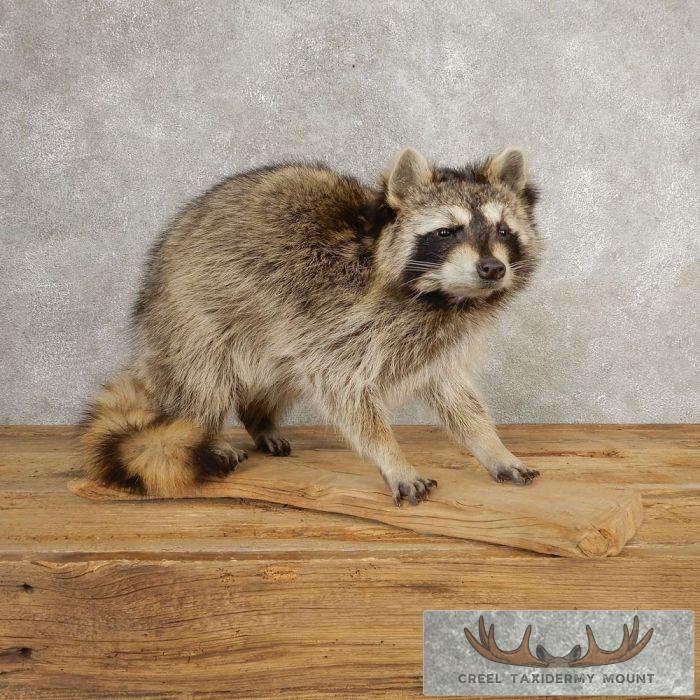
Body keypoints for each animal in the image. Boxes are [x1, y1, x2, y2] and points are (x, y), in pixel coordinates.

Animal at [81, 146, 541, 505]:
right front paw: (391, 457)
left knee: (280, 370)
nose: (492, 268)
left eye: (503, 230)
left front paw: (492, 446)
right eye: (447, 232)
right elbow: (345, 392)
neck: (441, 297)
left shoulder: (432, 342)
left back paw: (259, 418)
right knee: (205, 378)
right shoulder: (338, 322)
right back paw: (207, 429)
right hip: (193, 314)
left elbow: (455, 395)